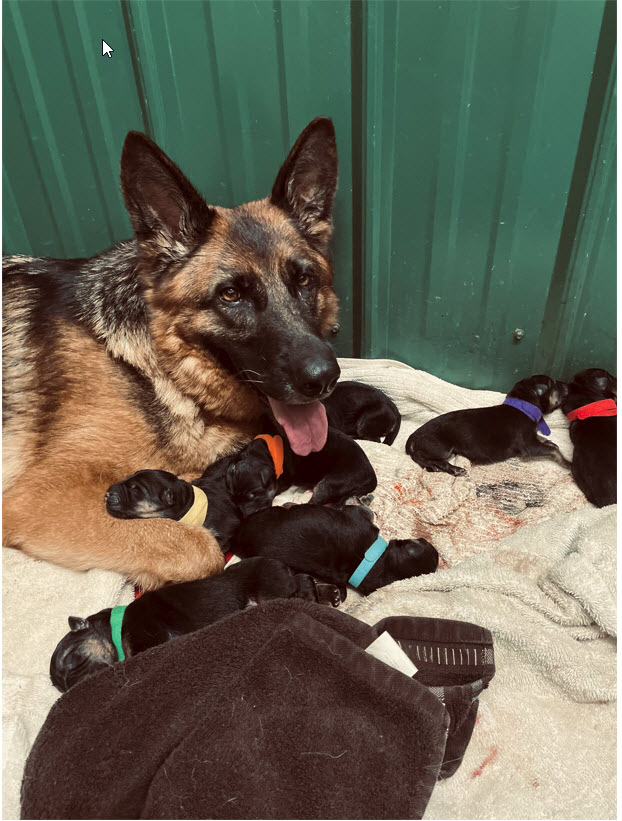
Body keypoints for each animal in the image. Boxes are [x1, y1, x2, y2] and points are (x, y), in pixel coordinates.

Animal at [3, 117, 343, 589]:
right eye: (231, 294)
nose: (323, 378)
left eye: (304, 280)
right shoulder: (41, 498)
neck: (159, 373)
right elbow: (197, 548)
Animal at [50, 557, 340, 692]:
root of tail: (280, 562)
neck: (114, 626)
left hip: (271, 588)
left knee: (303, 582)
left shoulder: (149, 634)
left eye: (75, 661)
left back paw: (317, 597)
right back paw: (331, 595)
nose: (75, 688)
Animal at [226, 426, 377, 516]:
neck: (265, 452)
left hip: (330, 482)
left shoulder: (284, 480)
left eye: (252, 495)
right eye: (235, 499)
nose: (245, 515)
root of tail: (372, 478)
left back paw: (290, 505)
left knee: (313, 503)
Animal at [406, 375, 569, 475]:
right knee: (420, 456)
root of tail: (412, 438)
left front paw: (549, 441)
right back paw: (454, 469)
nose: (568, 385)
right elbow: (554, 451)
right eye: (553, 384)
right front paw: (567, 462)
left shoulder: (532, 438)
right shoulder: (530, 447)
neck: (524, 404)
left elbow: (544, 441)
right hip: (442, 448)